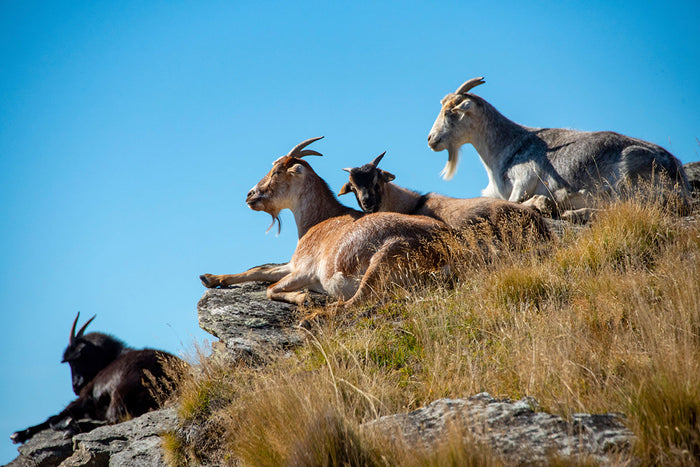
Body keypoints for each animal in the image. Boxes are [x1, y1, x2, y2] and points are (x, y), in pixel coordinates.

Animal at [11, 313, 182, 444]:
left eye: (75, 359)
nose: (76, 386)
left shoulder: (86, 397)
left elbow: (54, 418)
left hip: (118, 395)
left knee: (110, 419)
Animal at [199, 137, 451, 309]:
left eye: (277, 171)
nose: (250, 195)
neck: (320, 219)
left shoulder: (305, 271)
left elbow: (271, 289)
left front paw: (303, 297)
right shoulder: (293, 265)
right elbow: (259, 270)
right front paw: (210, 278)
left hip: (383, 259)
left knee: (353, 303)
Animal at [427, 77, 691, 218]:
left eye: (451, 112)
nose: (431, 139)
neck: (508, 146)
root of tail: (678, 174)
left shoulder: (522, 182)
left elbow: (519, 202)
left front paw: (544, 203)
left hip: (625, 182)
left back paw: (568, 211)